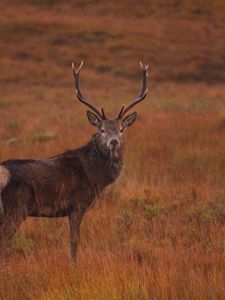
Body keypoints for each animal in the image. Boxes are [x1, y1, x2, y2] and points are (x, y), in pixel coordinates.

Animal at [0, 61, 149, 260]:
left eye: (121, 129)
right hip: (16, 208)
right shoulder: (77, 204)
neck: (96, 176)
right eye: (102, 129)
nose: (113, 141)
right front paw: (73, 263)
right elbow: (74, 240)